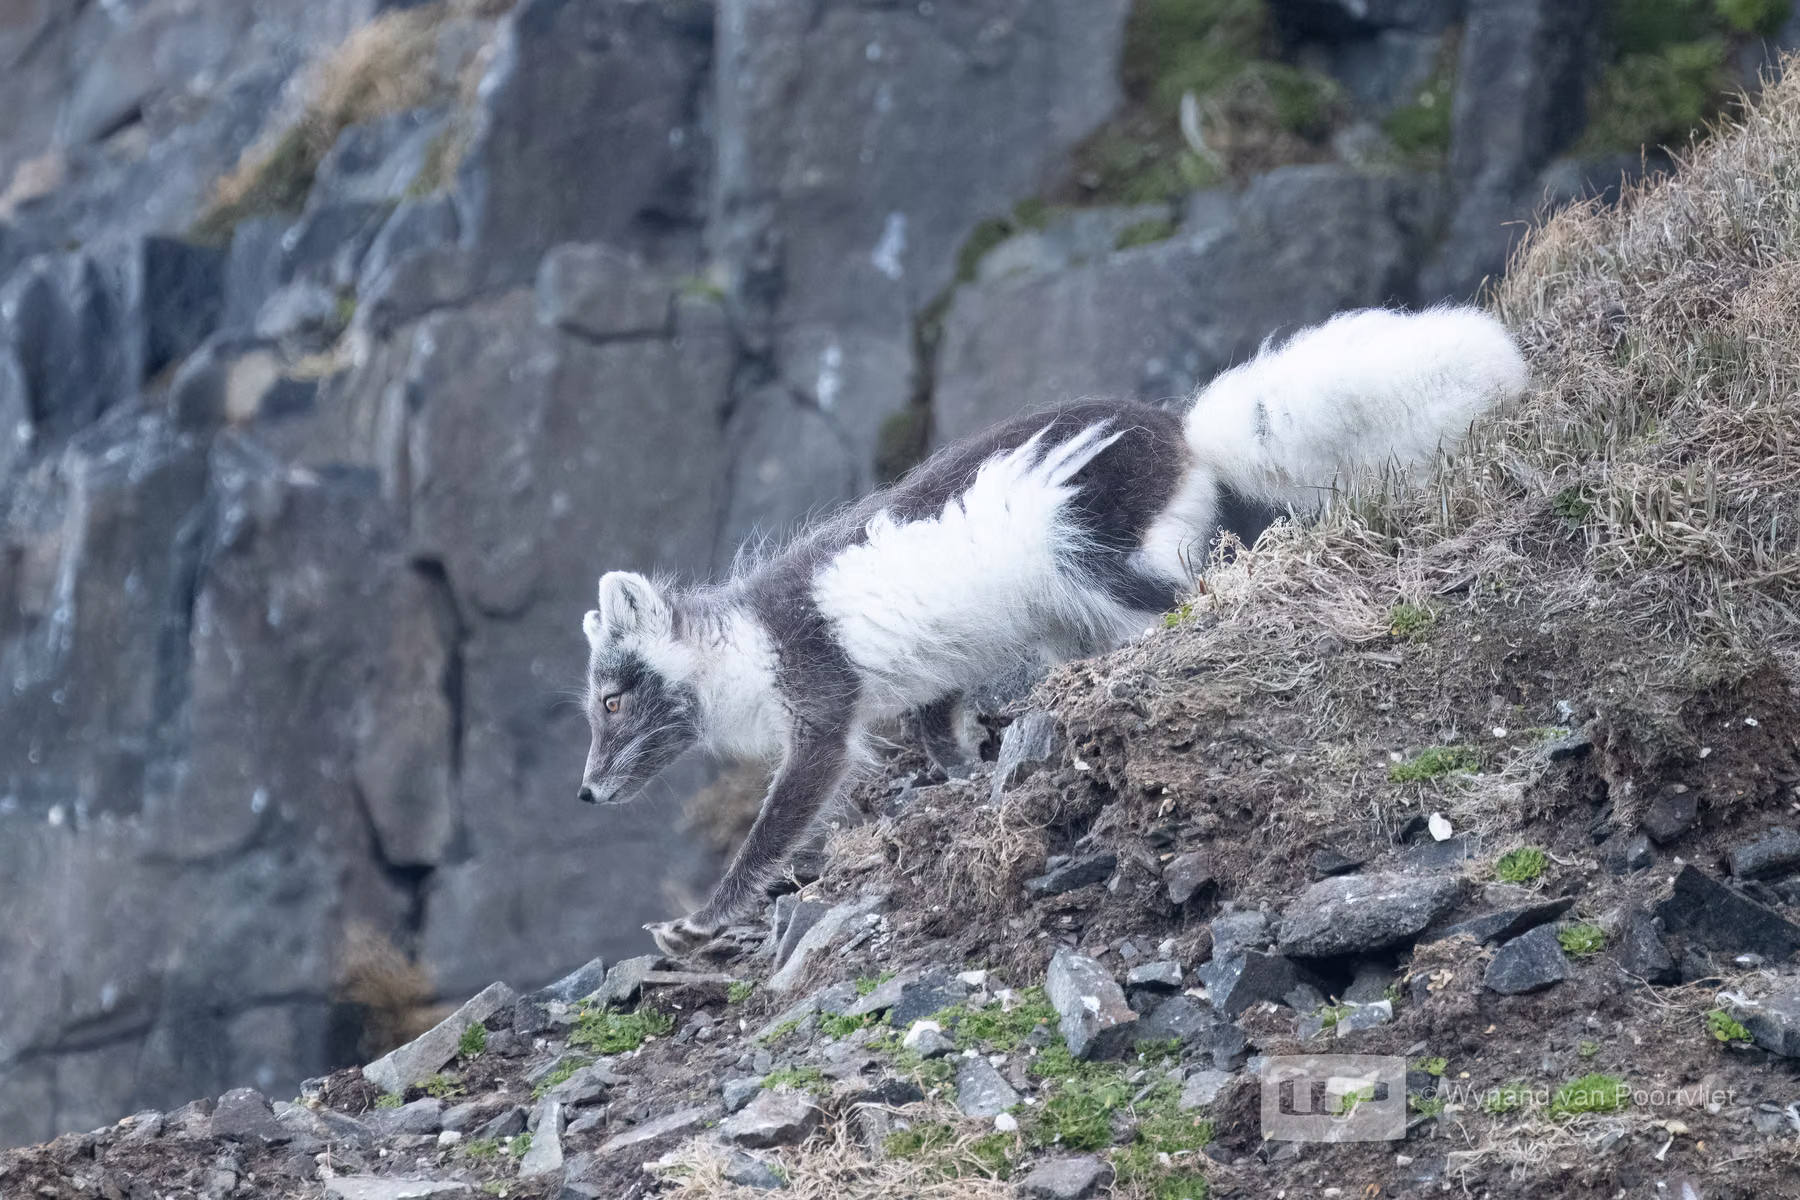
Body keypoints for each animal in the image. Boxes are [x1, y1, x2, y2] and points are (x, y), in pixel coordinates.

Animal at [575, 307, 1529, 956]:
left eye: (612, 700)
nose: (584, 794)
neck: (743, 648)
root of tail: (1183, 428)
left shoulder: (820, 709)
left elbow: (777, 824)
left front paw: (699, 923)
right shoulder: (933, 679)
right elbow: (939, 731)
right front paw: (968, 775)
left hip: (1098, 558)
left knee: (1190, 593)